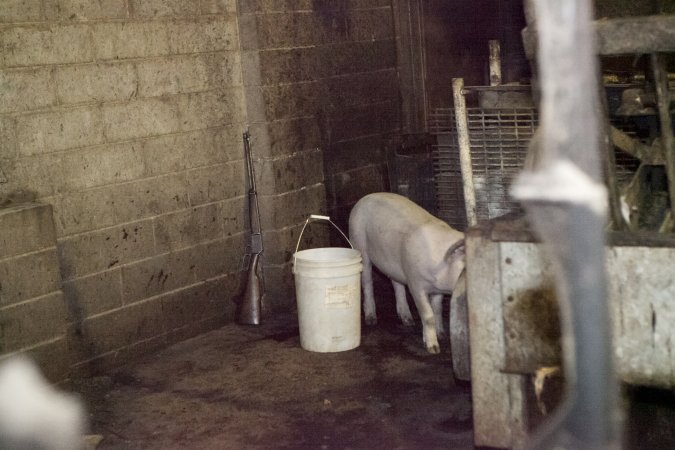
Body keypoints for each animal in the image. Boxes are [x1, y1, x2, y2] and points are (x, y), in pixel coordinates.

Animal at [348, 192, 464, 354]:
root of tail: (364, 198)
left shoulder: (437, 290)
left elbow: (437, 310)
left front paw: (442, 335)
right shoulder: (415, 283)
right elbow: (428, 315)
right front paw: (433, 349)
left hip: (393, 263)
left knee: (396, 284)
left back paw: (408, 321)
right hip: (359, 244)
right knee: (367, 283)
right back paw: (371, 320)